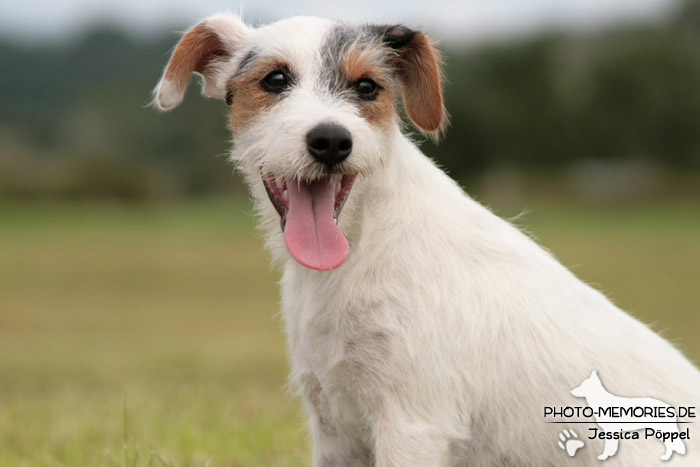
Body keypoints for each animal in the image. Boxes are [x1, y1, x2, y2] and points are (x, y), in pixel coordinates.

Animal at [153, 12, 700, 466]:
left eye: (368, 87)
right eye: (275, 79)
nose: (331, 140)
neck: (359, 244)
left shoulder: (412, 424)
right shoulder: (333, 429)